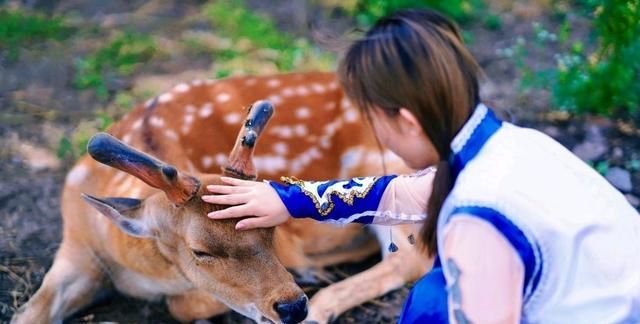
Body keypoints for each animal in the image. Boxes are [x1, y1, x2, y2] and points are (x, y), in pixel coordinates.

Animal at [12, 72, 436, 322]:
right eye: (199, 250)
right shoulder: (74, 248)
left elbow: (182, 304)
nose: (292, 306)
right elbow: (26, 314)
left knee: (408, 261)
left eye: (272, 230)